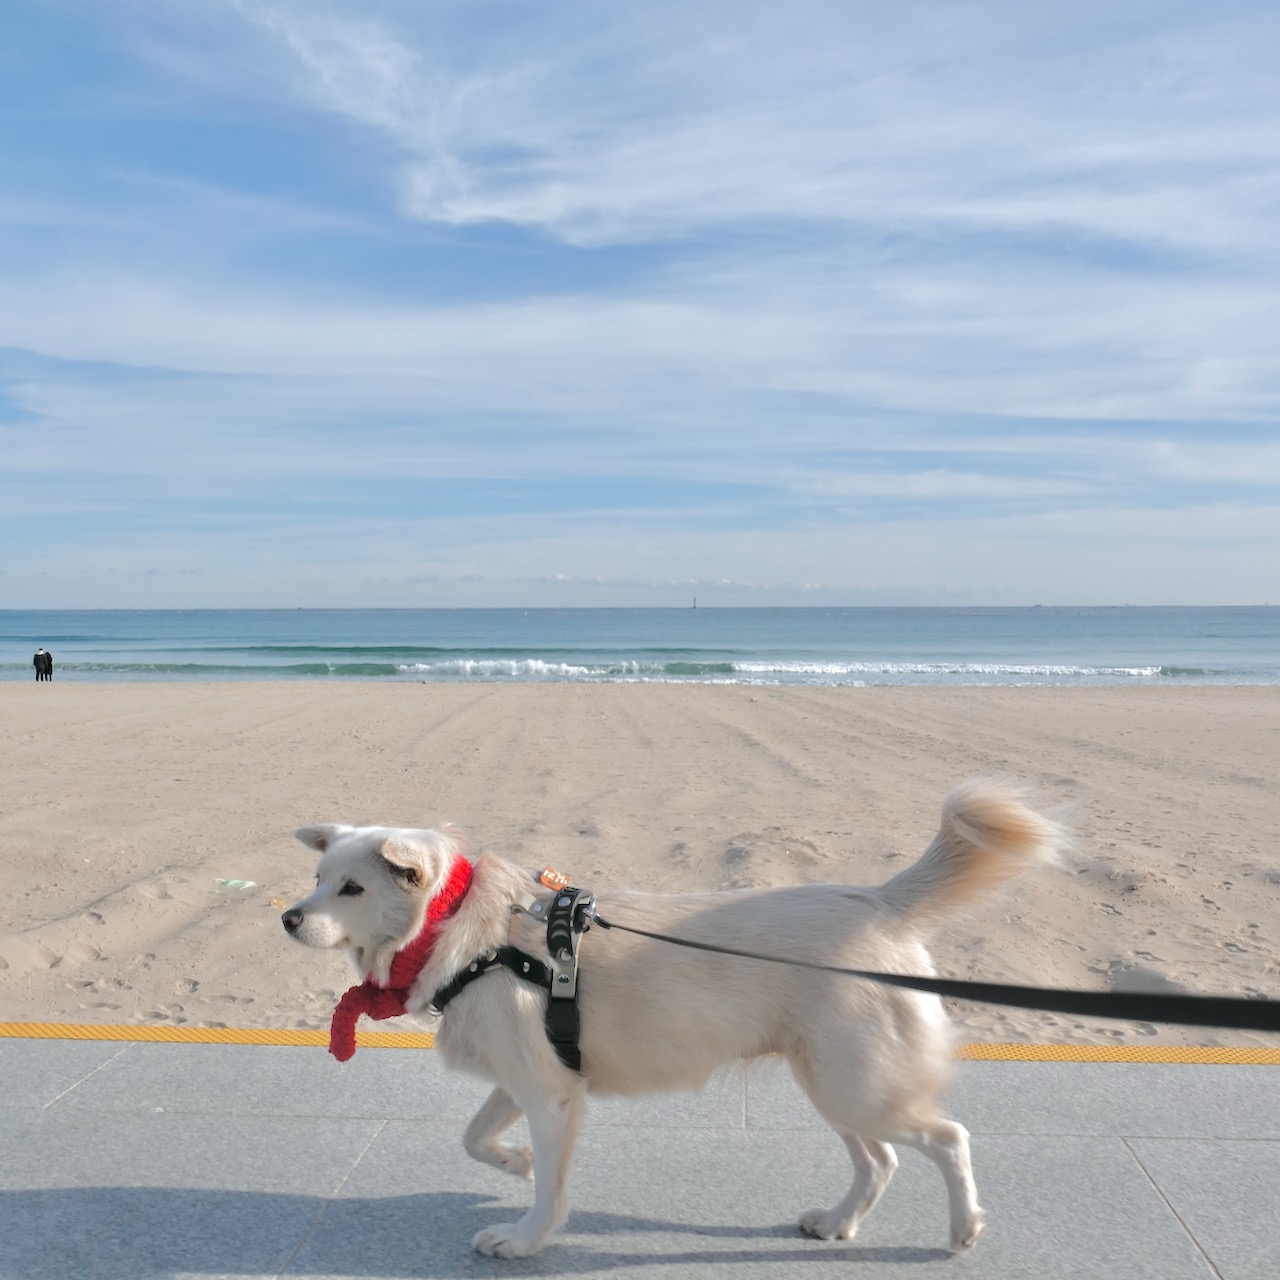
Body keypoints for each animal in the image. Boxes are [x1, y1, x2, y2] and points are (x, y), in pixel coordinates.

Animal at [285, 778, 1064, 1259]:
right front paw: (515, 1162)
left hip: (857, 1086)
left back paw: (963, 1231)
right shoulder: (529, 1080)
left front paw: (526, 1237)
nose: (289, 917)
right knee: (882, 1159)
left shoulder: (551, 1095)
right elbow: (474, 1138)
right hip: (838, 1086)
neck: (460, 928)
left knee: (948, 1139)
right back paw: (839, 1222)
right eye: (318, 879)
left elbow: (549, 1189)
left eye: (352, 889)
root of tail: (878, 900)